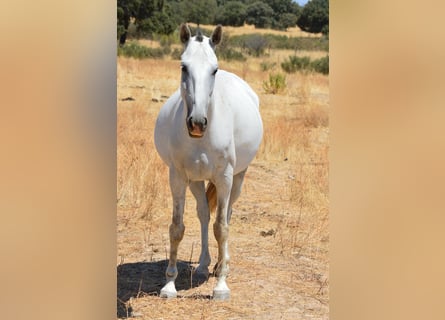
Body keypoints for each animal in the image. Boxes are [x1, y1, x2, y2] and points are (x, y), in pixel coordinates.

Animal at [153, 24, 262, 300]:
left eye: (214, 69)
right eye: (183, 66)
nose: (197, 123)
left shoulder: (224, 177)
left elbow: (221, 228)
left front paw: (221, 286)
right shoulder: (178, 177)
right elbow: (177, 227)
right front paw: (169, 284)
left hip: (237, 178)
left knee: (227, 214)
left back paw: (223, 264)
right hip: (196, 181)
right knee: (203, 214)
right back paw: (204, 264)